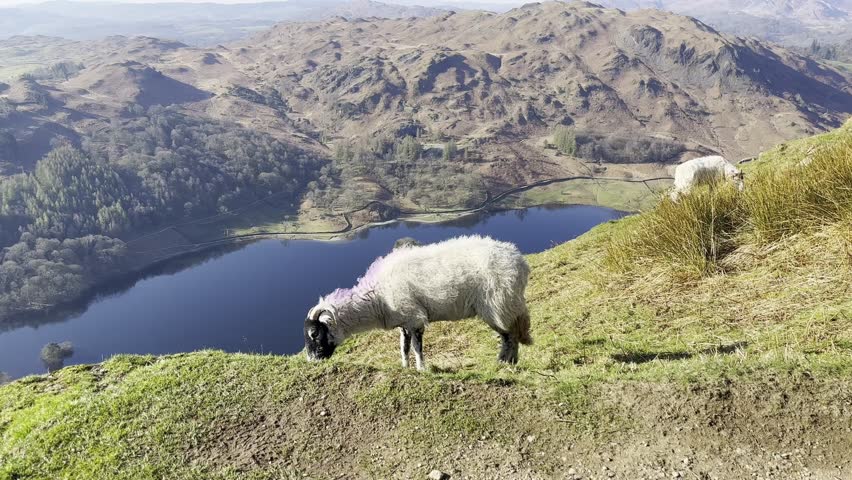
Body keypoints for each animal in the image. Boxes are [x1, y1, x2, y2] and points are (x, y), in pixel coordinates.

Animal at [303, 235, 533, 370]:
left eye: (314, 334)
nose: (311, 361)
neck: (377, 298)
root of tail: (518, 260)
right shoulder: (404, 323)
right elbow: (404, 347)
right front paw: (405, 367)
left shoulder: (415, 319)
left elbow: (416, 348)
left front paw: (421, 369)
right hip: (504, 305)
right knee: (510, 334)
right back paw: (509, 362)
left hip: (498, 305)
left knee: (509, 336)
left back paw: (504, 363)